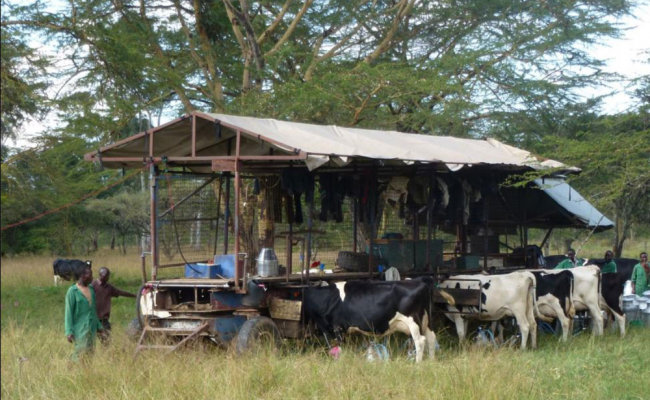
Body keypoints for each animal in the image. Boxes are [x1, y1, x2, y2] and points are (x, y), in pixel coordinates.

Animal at [302, 278, 450, 362]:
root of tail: (422, 283)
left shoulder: (338, 327)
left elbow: (340, 348)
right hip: (426, 321)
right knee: (431, 338)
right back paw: (431, 361)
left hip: (414, 320)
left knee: (420, 341)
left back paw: (418, 365)